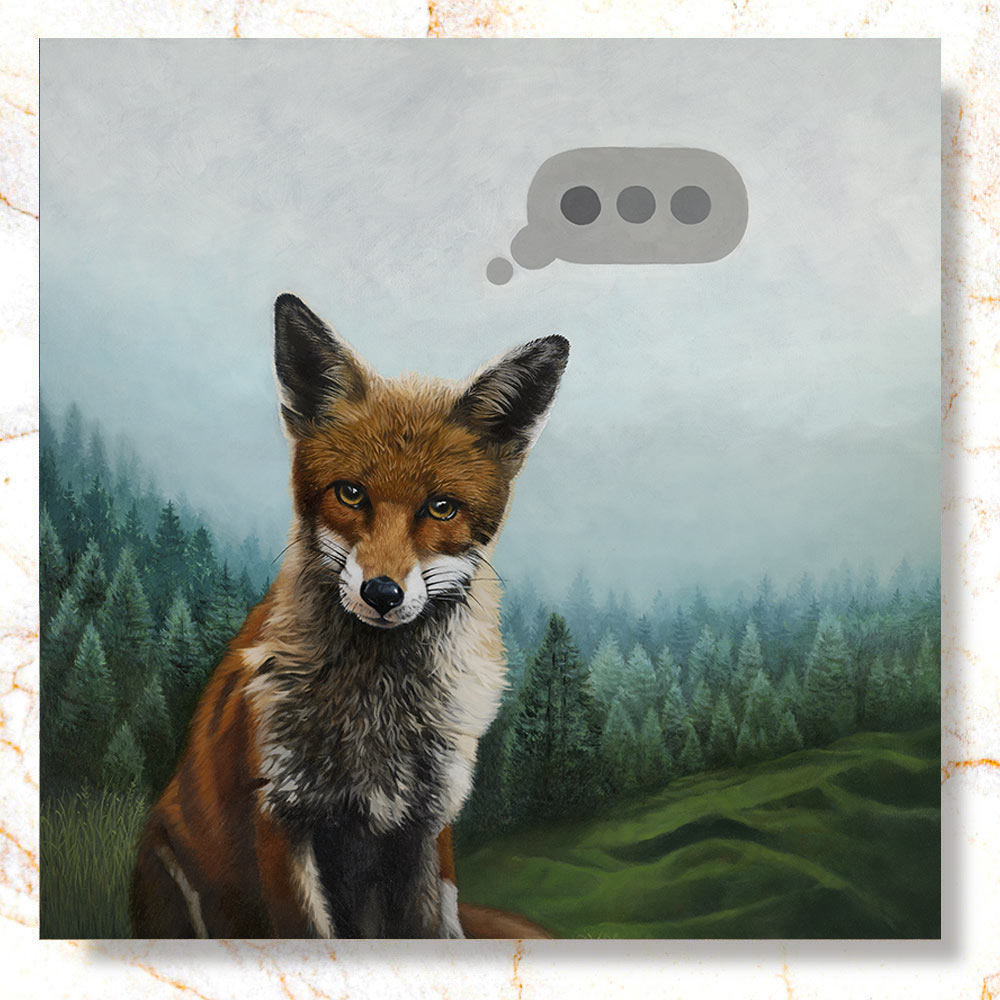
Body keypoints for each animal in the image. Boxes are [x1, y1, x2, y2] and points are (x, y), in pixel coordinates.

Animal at [129, 293, 568, 939]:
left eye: (441, 507)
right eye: (351, 493)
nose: (382, 592)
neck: (378, 714)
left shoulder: (427, 826)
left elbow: (434, 927)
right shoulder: (281, 818)